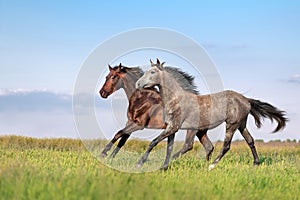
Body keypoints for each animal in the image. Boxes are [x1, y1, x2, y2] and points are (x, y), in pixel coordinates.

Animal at [135, 58, 286, 170]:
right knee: (250, 140)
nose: (137, 84)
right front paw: (163, 166)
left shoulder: (174, 127)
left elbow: (154, 142)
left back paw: (211, 166)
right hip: (241, 124)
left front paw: (141, 164)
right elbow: (168, 148)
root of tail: (246, 100)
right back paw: (255, 163)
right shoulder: (171, 128)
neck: (176, 99)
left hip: (231, 125)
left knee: (225, 146)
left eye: (152, 72)